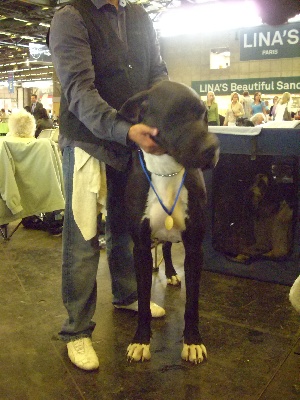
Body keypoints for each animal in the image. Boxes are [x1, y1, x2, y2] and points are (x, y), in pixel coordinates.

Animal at [118, 80, 219, 362]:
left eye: (204, 116)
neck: (167, 170)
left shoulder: (195, 247)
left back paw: (173, 273)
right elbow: (142, 301)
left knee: (166, 246)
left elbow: (192, 304)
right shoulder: (141, 247)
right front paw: (140, 341)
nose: (214, 147)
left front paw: (192, 341)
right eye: (176, 114)